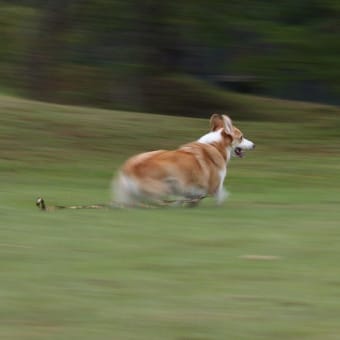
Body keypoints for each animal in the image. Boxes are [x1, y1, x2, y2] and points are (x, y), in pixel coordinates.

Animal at [113, 114, 254, 206]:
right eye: (241, 137)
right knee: (156, 201)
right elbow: (220, 195)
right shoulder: (215, 186)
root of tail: (131, 167)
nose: (254, 145)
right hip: (165, 186)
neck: (215, 145)